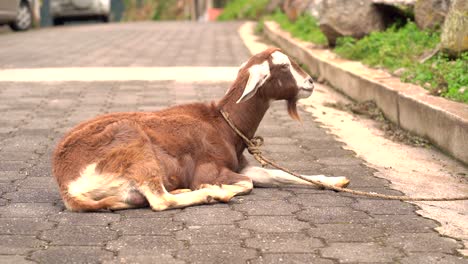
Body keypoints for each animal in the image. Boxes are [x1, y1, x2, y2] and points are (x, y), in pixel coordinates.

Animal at [53, 48, 350, 212]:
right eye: (284, 66)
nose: (310, 83)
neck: (221, 123)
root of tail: (66, 183)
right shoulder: (211, 169)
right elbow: (247, 183)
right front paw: (214, 188)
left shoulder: (240, 165)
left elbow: (276, 174)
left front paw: (335, 180)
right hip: (134, 146)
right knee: (160, 200)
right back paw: (211, 194)